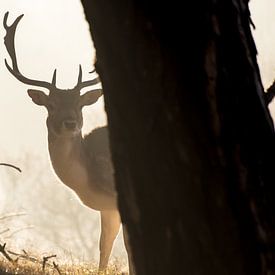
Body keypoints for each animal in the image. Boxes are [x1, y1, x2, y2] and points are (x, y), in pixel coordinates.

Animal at [2, 11, 135, 274]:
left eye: (80, 104)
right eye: (51, 105)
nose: (70, 123)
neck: (87, 182)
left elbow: (126, 247)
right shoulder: (108, 208)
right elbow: (104, 248)